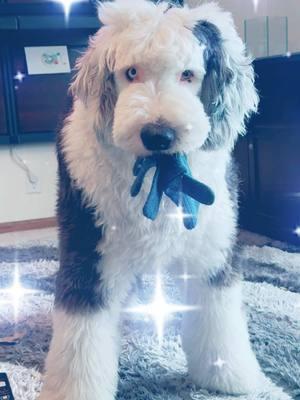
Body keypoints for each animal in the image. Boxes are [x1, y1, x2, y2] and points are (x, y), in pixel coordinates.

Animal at [38, 1, 264, 398]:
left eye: (188, 74)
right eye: (131, 72)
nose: (159, 134)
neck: (161, 170)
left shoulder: (212, 246)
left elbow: (218, 314)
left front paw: (231, 376)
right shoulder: (90, 247)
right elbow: (83, 332)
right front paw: (74, 390)